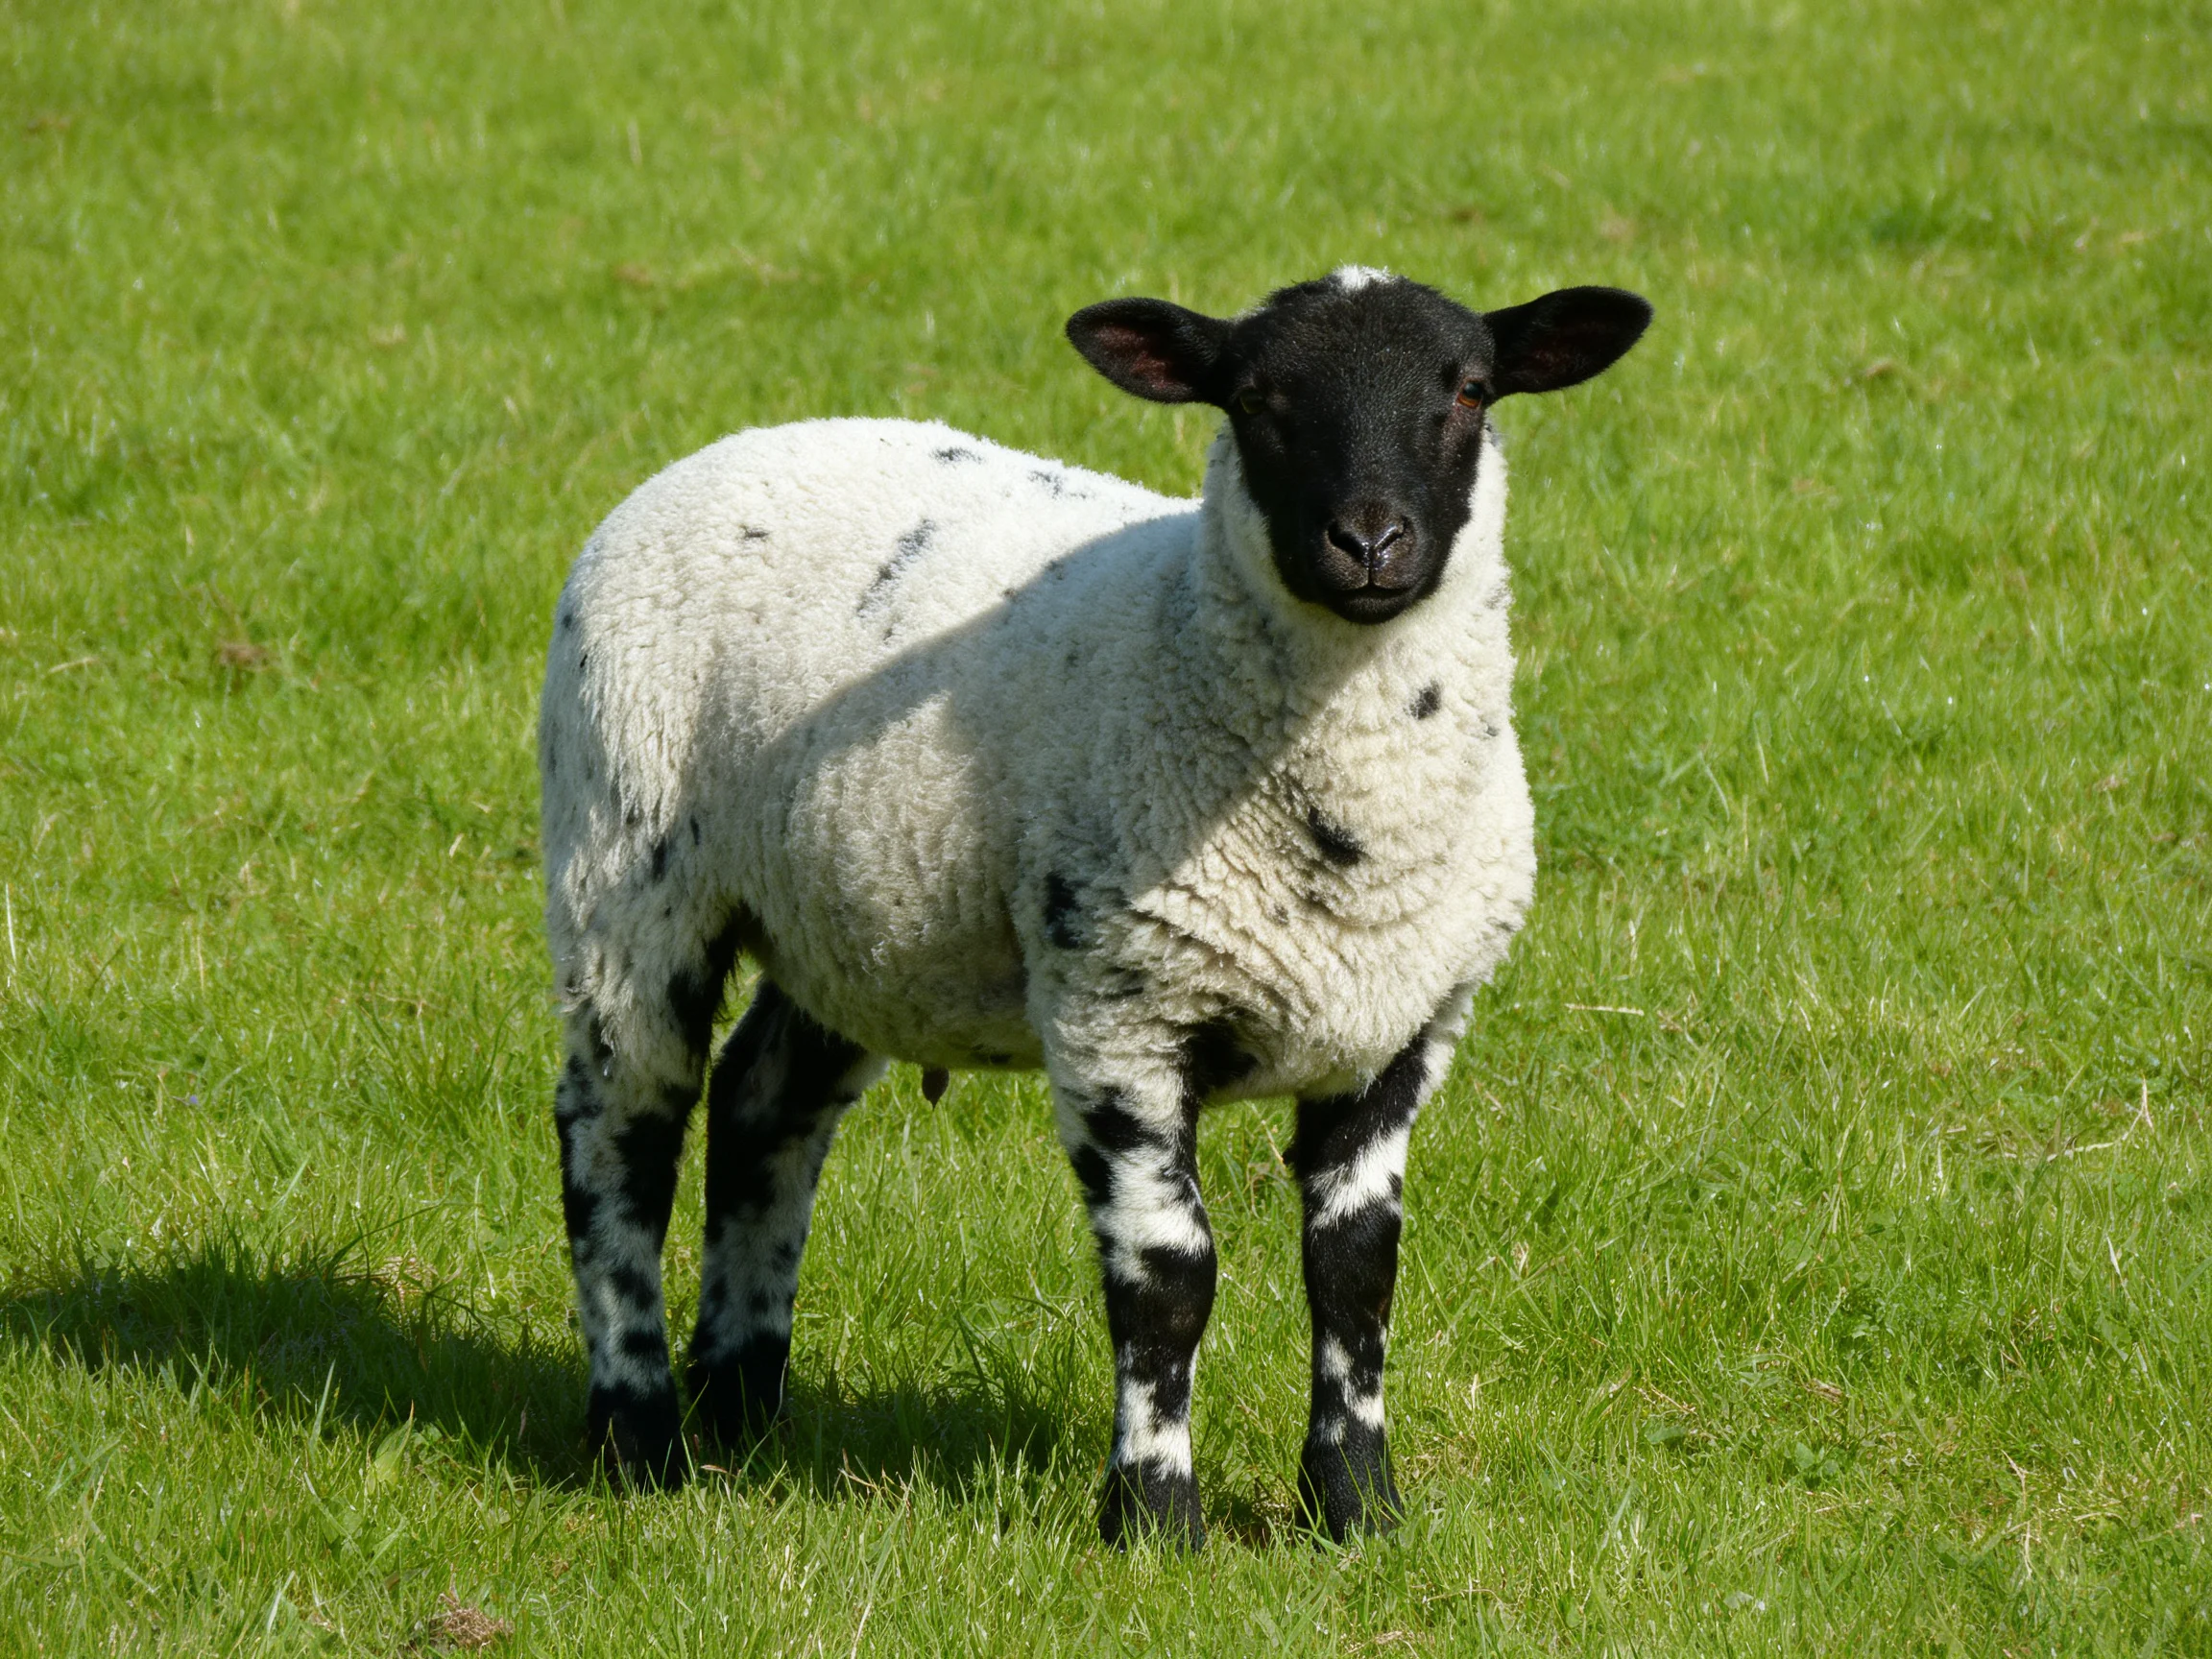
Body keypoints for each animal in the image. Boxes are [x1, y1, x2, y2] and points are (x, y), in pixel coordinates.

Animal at [539, 268, 1651, 1548]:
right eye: (1254, 397)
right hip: (624, 870)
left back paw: (744, 1411)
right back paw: (637, 1432)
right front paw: (1156, 1516)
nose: (1371, 542)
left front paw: (1358, 1507)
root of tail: (730, 447)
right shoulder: (1119, 1013)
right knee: (620, 1136)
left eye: (1469, 389)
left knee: (765, 1108)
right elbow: (1169, 1277)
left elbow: (1358, 1271)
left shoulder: (1404, 1025)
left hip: (851, 926)